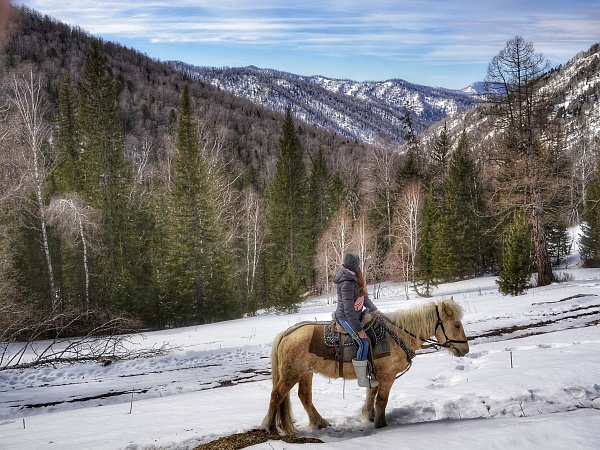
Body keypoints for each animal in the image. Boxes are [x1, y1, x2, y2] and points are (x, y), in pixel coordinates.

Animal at [262, 298, 468, 434]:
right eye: (457, 325)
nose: (465, 349)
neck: (397, 334)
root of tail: (286, 333)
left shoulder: (376, 375)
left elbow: (371, 394)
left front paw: (369, 416)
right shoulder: (387, 376)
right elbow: (382, 400)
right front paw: (380, 424)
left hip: (305, 373)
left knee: (304, 397)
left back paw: (320, 423)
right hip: (291, 374)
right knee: (276, 395)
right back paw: (271, 428)